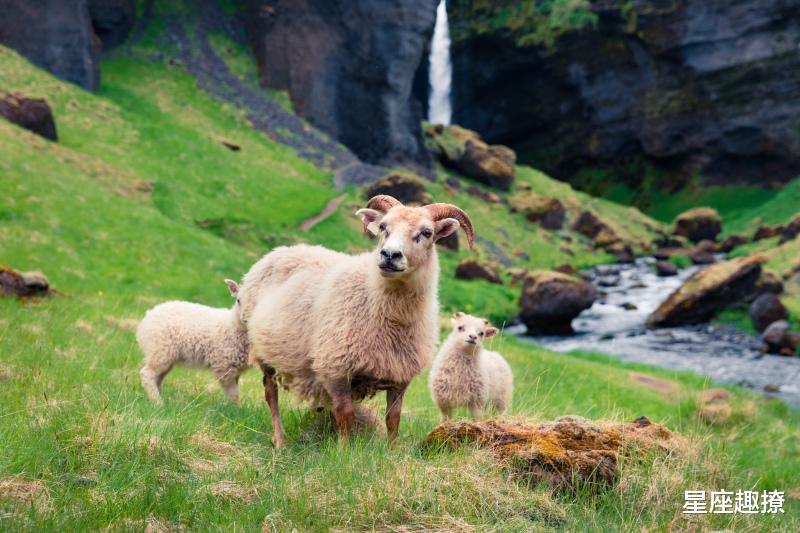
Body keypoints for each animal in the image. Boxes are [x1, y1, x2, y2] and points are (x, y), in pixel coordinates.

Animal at [241, 194, 472, 444]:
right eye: (383, 227)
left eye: (427, 232)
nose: (390, 255)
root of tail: (280, 250)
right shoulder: (335, 368)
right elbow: (345, 415)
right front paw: (342, 449)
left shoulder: (400, 376)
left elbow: (393, 419)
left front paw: (391, 449)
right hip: (262, 350)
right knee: (270, 393)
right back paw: (280, 440)